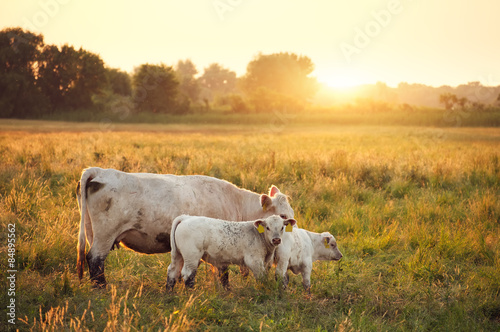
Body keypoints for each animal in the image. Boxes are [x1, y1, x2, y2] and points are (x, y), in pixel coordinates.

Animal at [75, 167, 292, 286]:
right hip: (105, 235)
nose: (286, 239)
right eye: (282, 216)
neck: (236, 202)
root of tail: (100, 171)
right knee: (95, 260)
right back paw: (101, 289)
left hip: (92, 233)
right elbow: (222, 271)